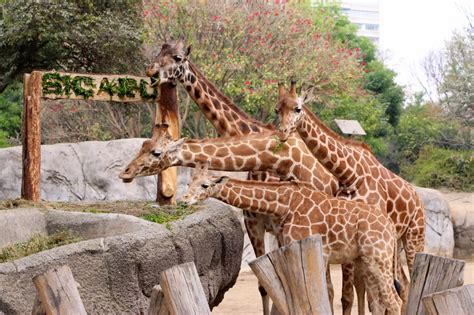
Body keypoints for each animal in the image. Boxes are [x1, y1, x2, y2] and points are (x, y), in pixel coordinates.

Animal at [181, 165, 404, 315]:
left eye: (205, 185)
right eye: (189, 183)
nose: (185, 201)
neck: (284, 203)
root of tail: (390, 227)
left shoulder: (309, 248)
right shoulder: (291, 247)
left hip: (378, 258)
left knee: (394, 301)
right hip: (366, 260)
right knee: (379, 303)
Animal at [274, 81, 426, 314]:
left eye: (297, 109)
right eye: (277, 109)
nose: (282, 132)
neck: (349, 174)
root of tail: (417, 199)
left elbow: (365, 296)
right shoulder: (347, 233)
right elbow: (352, 293)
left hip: (413, 236)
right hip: (394, 242)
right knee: (404, 284)